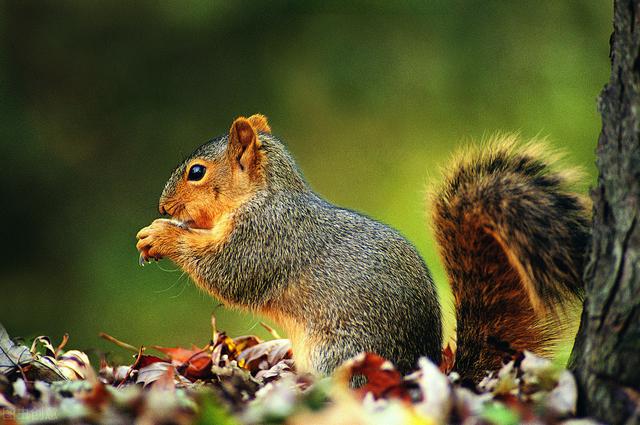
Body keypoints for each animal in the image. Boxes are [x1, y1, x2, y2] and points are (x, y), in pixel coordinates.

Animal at [138, 113, 592, 380]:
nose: (162, 205)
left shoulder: (266, 236)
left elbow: (227, 272)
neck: (264, 194)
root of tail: (417, 368)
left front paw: (160, 234)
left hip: (339, 353)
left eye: (197, 172)